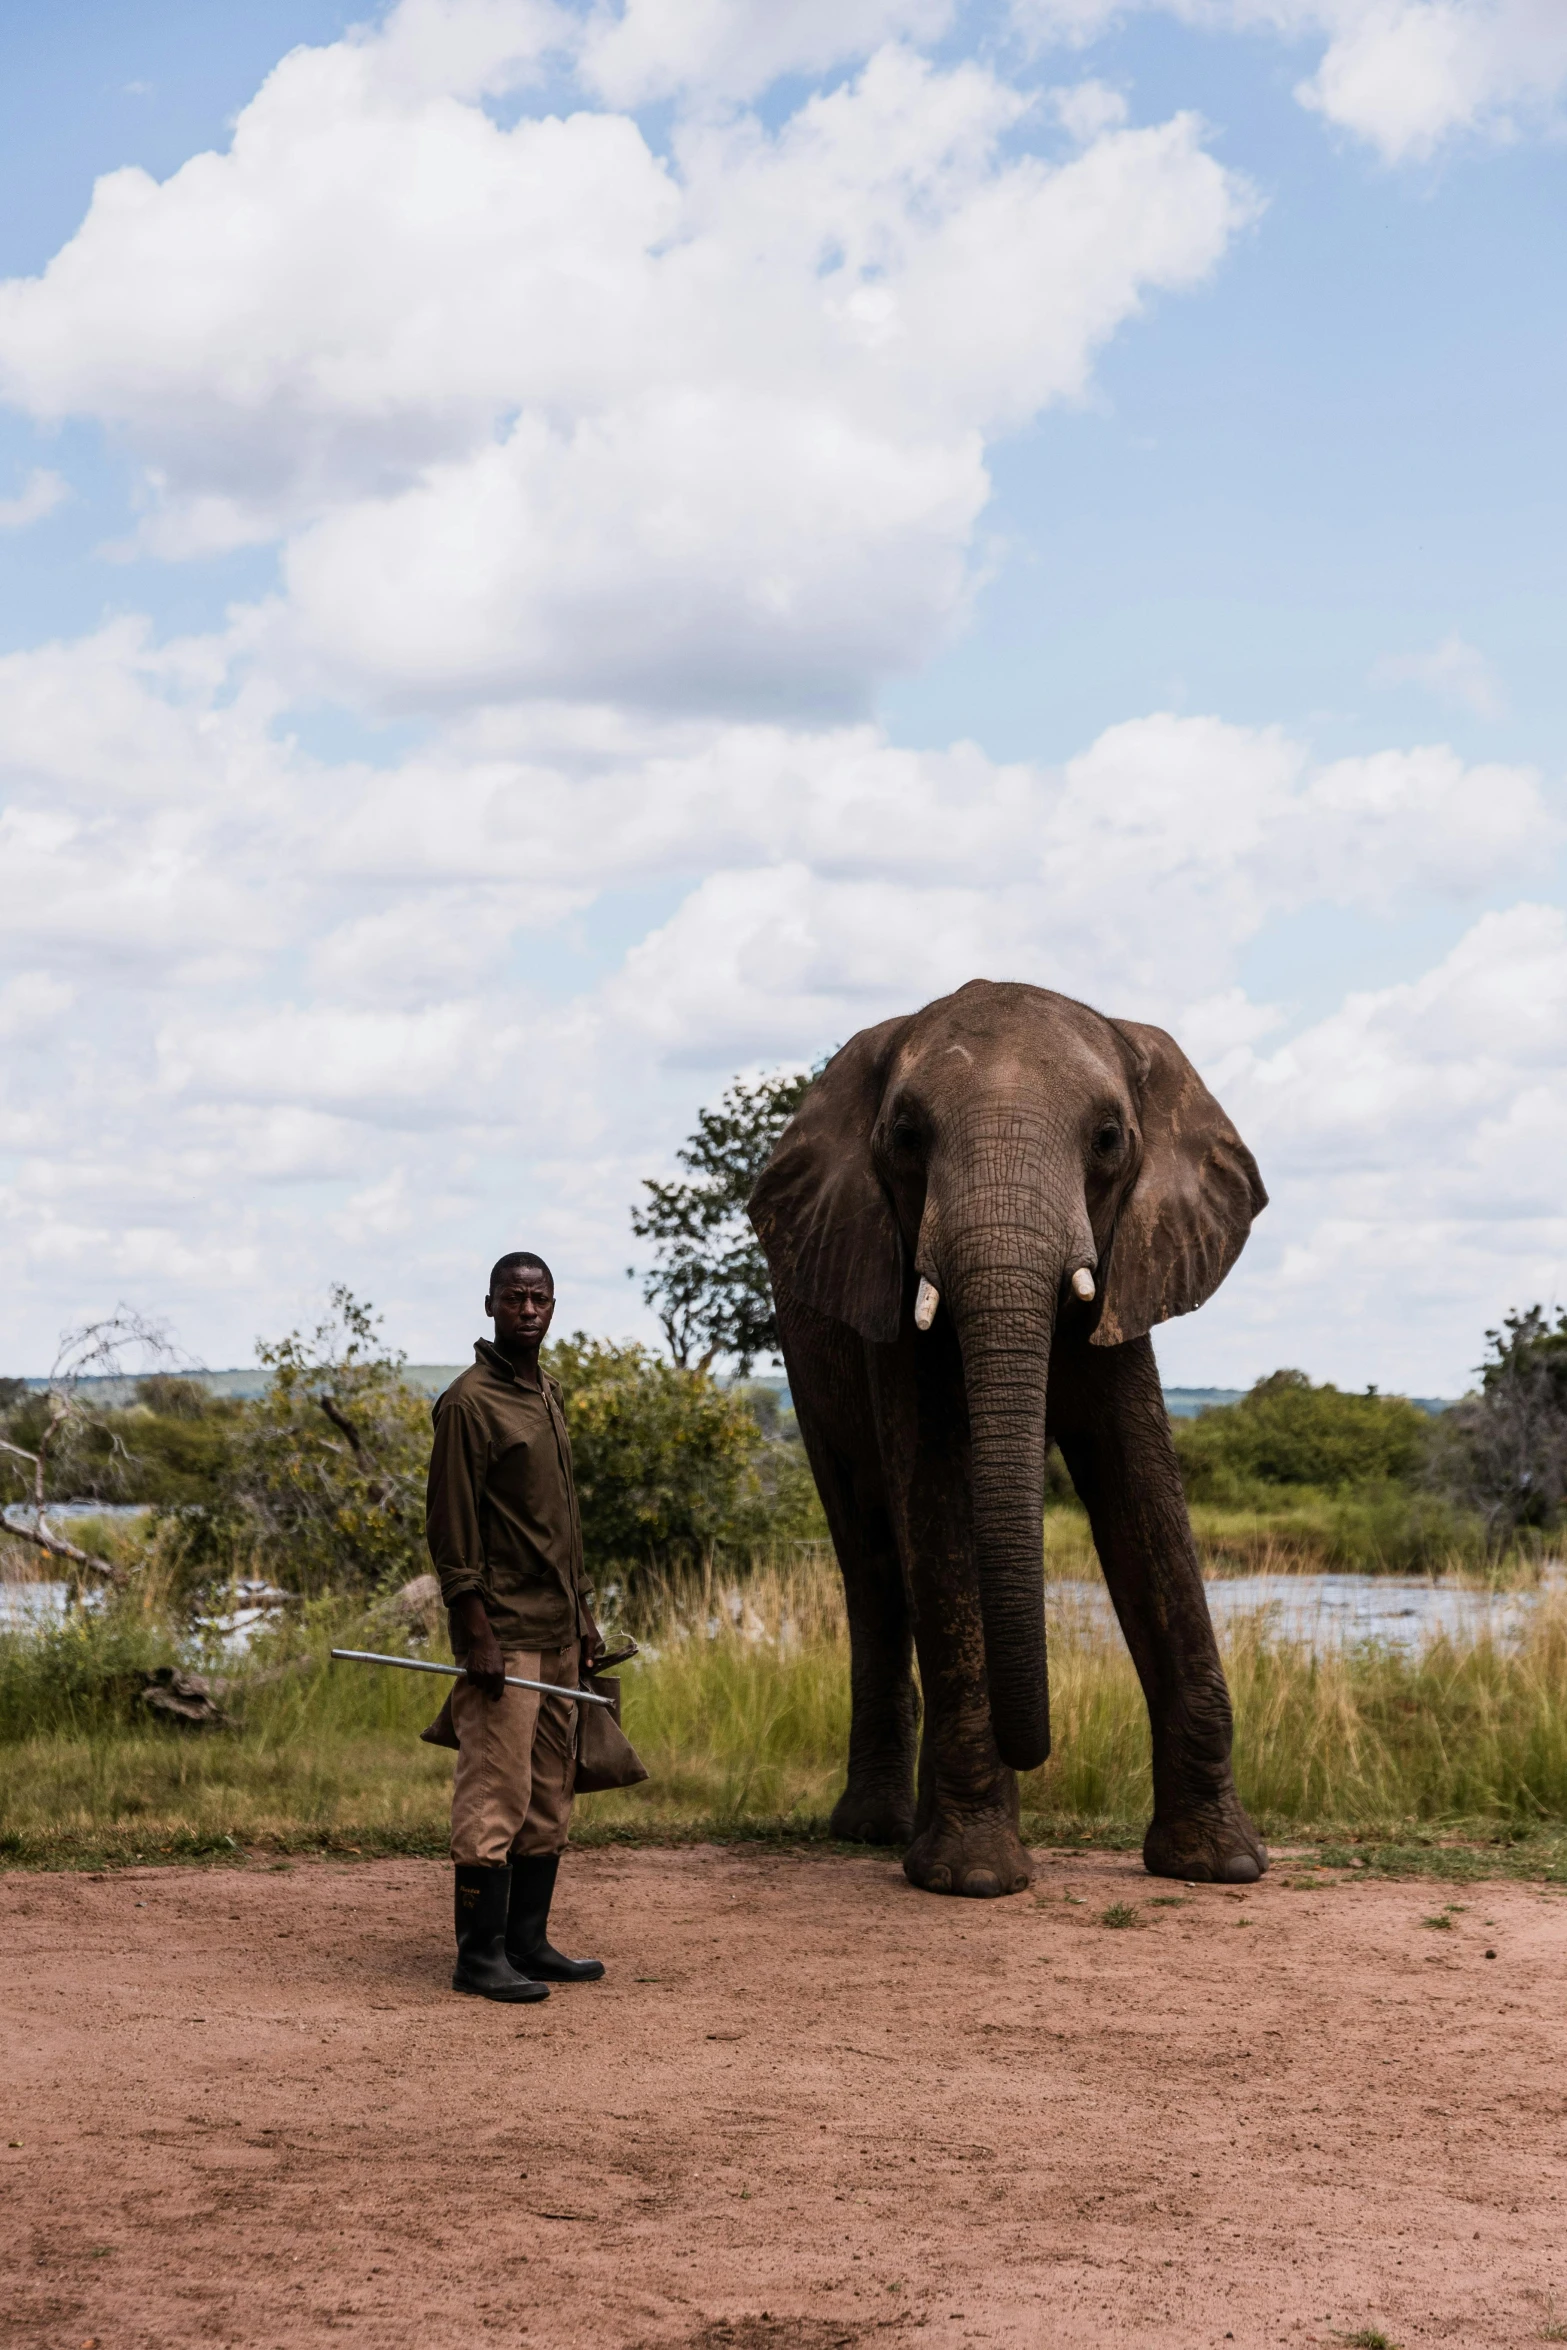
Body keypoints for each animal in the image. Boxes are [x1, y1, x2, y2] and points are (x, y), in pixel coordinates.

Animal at [747, 982, 1278, 1898]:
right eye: (905, 1138)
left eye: (1107, 1140)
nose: (1036, 1747)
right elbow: (936, 1497)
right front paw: (974, 1879)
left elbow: (1142, 1500)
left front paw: (1221, 1866)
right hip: (803, 1356)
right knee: (873, 1559)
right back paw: (876, 1831)